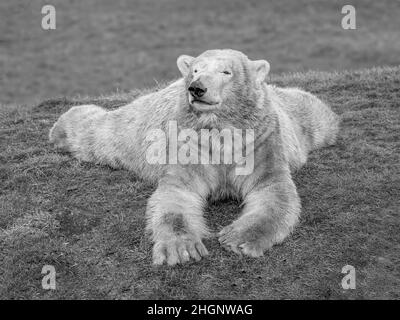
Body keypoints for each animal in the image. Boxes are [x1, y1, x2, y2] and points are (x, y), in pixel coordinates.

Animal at [49, 49, 338, 264]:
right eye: (196, 70)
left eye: (226, 72)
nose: (195, 88)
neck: (221, 127)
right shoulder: (189, 142)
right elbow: (177, 194)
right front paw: (182, 248)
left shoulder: (261, 139)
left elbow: (273, 191)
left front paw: (237, 239)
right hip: (136, 129)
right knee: (105, 133)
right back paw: (61, 128)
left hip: (298, 120)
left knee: (317, 115)